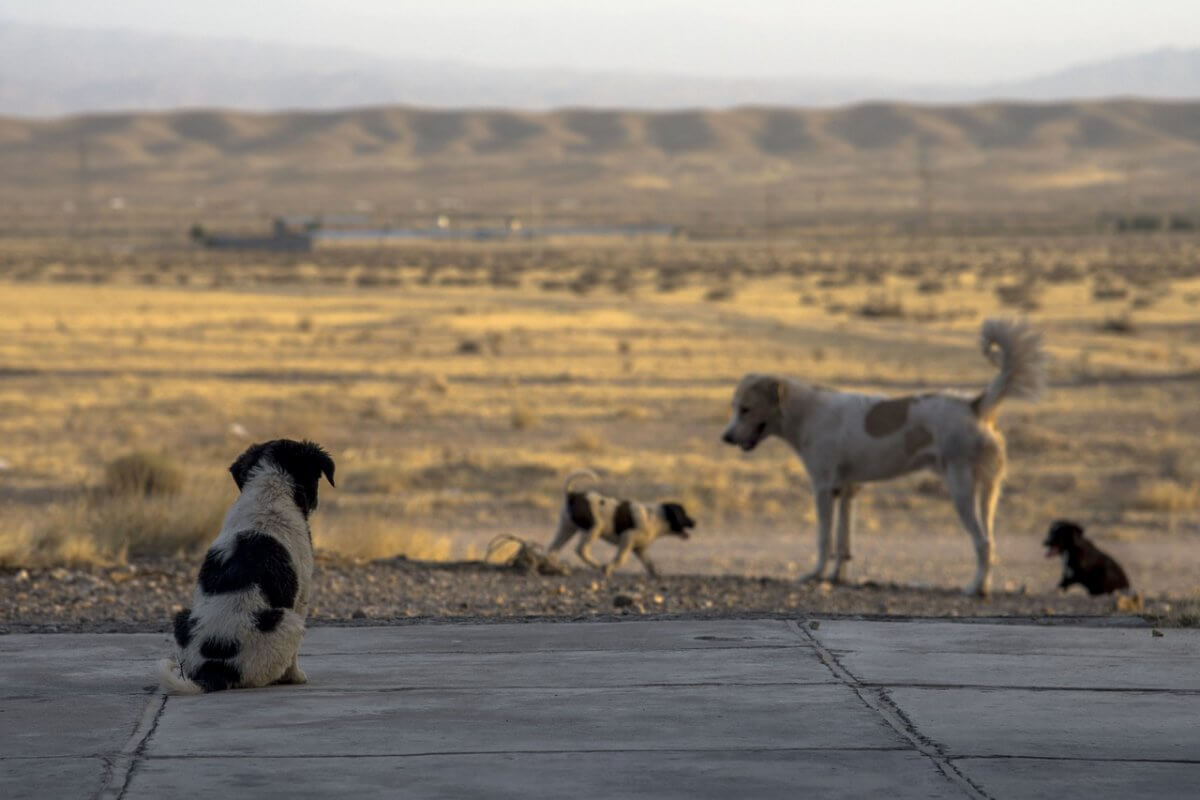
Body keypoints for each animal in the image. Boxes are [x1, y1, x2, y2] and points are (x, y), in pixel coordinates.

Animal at [159, 438, 336, 695]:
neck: (270, 492)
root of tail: (214, 669)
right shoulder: (302, 594)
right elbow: (294, 658)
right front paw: (296, 676)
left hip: (182, 619)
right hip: (288, 622)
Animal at [549, 470, 700, 575]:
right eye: (684, 514)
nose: (695, 522)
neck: (657, 517)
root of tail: (572, 495)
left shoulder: (640, 548)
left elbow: (649, 563)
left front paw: (656, 573)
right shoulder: (627, 538)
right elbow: (621, 558)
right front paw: (608, 568)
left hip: (566, 528)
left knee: (553, 548)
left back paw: (552, 564)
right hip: (593, 528)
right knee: (581, 549)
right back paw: (596, 564)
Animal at [720, 319, 1041, 594]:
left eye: (746, 409)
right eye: (735, 407)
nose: (726, 437)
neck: (807, 412)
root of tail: (975, 405)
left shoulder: (823, 489)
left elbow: (824, 539)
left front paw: (815, 575)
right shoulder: (846, 490)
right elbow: (842, 542)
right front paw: (837, 577)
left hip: (961, 489)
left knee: (982, 542)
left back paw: (975, 589)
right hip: (989, 492)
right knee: (990, 539)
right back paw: (983, 585)